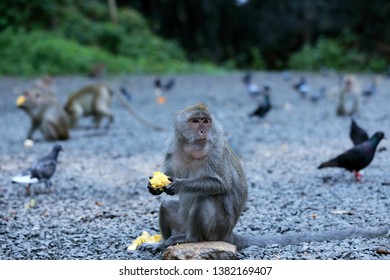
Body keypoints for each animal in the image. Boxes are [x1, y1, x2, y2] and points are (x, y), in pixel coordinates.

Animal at [145, 104, 388, 253]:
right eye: (195, 122)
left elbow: (220, 184)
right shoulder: (173, 147)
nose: (204, 131)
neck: (192, 150)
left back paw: (190, 239)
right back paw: (164, 242)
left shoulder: (215, 152)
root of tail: (229, 234)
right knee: (166, 207)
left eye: (206, 122)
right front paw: (155, 185)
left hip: (217, 229)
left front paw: (178, 185)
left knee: (207, 199)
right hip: (184, 222)